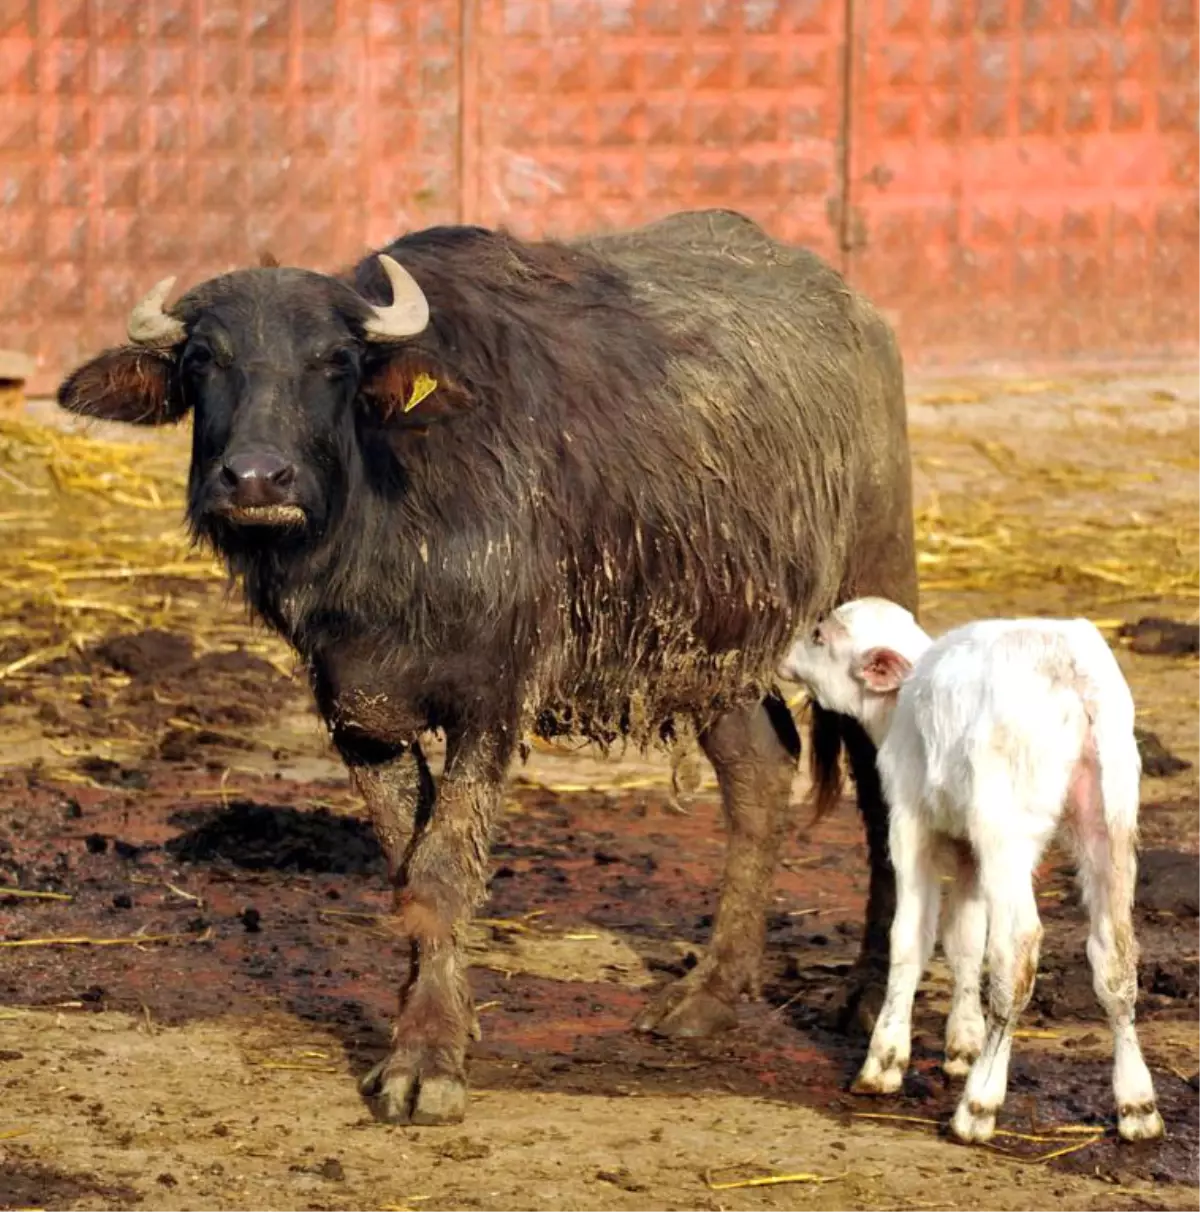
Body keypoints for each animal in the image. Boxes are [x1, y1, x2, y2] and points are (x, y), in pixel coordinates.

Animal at [58, 208, 921, 1124]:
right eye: (202, 360)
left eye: (333, 361)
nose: (257, 478)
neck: (386, 535)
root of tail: (858, 312)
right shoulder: (358, 712)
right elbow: (407, 871)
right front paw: (429, 1027)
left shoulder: (493, 702)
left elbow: (443, 870)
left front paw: (426, 1063)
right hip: (707, 641)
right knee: (759, 775)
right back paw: (709, 994)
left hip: (872, 590)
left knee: (881, 794)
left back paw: (868, 997)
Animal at [780, 598, 1163, 1144]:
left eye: (819, 635)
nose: (785, 656)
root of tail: (1067, 664)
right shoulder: (967, 848)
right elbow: (964, 938)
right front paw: (962, 1045)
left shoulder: (910, 823)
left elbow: (911, 938)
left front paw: (885, 1061)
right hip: (1109, 819)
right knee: (1115, 954)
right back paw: (1137, 1106)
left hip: (1006, 830)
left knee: (1017, 950)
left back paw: (978, 1106)